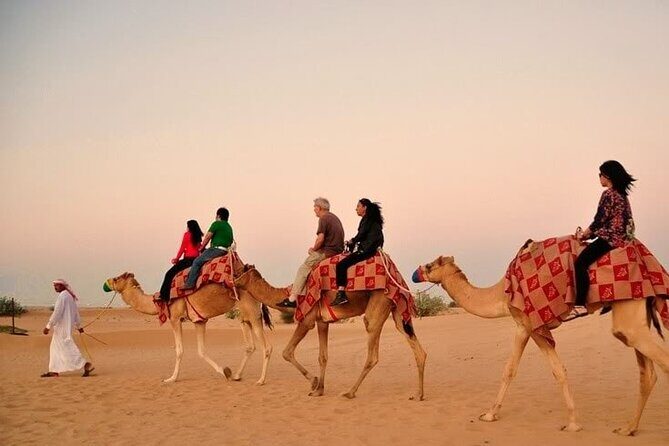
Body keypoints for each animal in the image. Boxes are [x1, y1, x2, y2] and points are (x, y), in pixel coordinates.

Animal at [104, 271, 273, 384]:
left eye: (117, 278)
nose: (107, 282)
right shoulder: (199, 321)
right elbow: (201, 351)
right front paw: (226, 372)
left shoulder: (175, 318)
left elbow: (179, 350)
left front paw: (171, 378)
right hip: (244, 317)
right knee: (250, 346)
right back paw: (237, 375)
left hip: (252, 313)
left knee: (267, 347)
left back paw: (261, 380)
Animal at [233, 265, 427, 400]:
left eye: (238, 271)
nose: (231, 281)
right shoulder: (322, 322)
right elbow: (323, 356)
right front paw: (319, 389)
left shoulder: (307, 319)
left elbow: (287, 352)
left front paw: (313, 382)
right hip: (397, 312)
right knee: (419, 350)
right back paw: (418, 395)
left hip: (378, 306)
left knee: (372, 353)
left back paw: (350, 392)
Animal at [413, 255, 669, 435]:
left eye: (430, 265)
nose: (415, 274)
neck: (501, 293)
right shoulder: (531, 327)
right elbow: (555, 371)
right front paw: (573, 423)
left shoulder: (527, 324)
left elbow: (515, 370)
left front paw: (489, 414)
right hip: (633, 316)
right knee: (647, 374)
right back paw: (628, 428)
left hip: (629, 316)